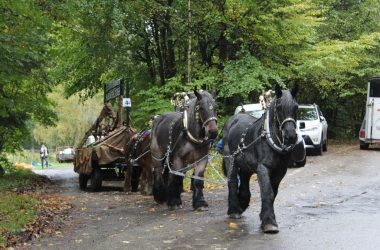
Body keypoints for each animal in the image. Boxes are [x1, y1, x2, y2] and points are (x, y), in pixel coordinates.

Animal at [223, 85, 300, 233]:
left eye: (296, 107)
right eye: (279, 107)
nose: (291, 136)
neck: (270, 139)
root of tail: (233, 119)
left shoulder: (280, 172)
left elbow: (273, 193)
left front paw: (265, 218)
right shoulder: (263, 168)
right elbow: (267, 192)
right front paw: (269, 222)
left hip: (245, 166)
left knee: (244, 181)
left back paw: (242, 203)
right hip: (231, 160)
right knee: (232, 182)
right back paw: (234, 210)